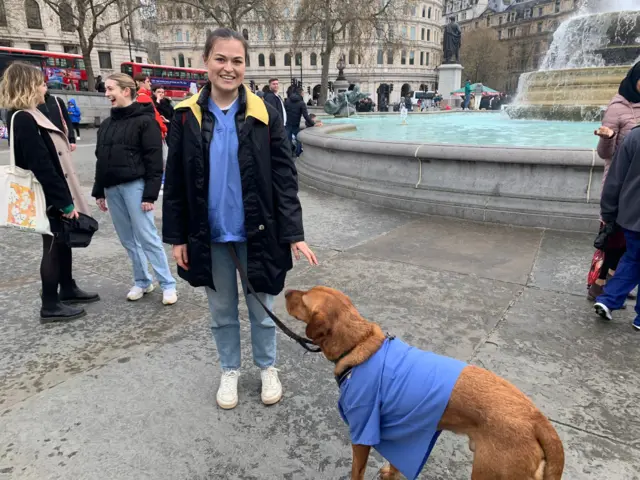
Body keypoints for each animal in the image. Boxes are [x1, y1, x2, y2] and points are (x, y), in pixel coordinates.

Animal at [286, 286, 564, 478]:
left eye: (304, 298)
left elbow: (358, 471)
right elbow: (397, 461)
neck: (359, 344)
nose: (286, 291)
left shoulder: (362, 434)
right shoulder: (402, 431)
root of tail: (537, 419)